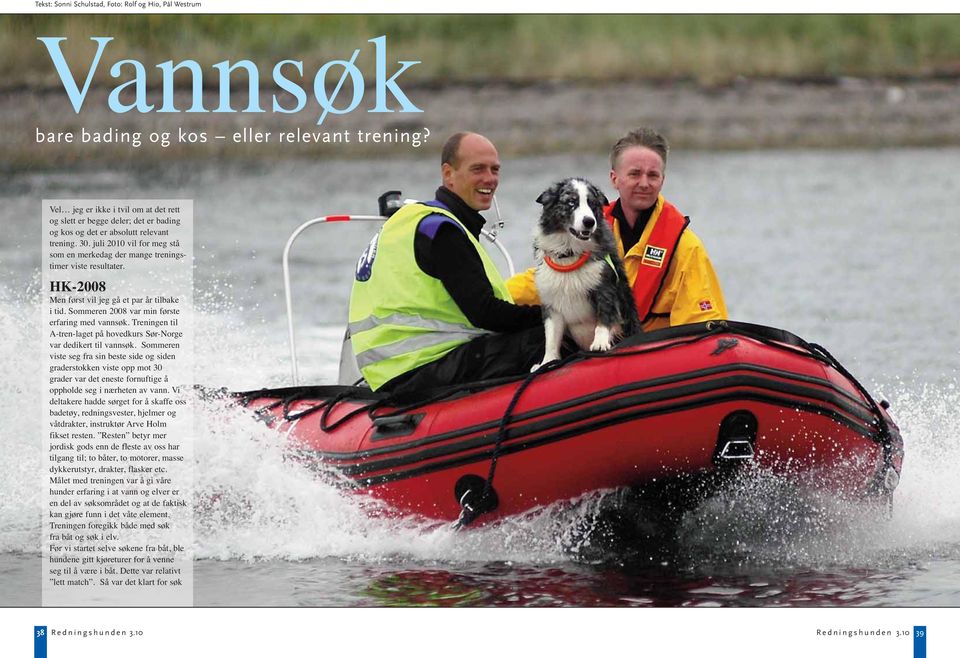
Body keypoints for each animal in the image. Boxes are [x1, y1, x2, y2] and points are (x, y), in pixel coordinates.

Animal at [532, 176, 636, 368]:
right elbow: (551, 337)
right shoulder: (553, 301)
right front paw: (547, 362)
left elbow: (605, 316)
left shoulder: (605, 287)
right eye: (571, 202)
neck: (570, 252)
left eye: (592, 203)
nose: (589, 221)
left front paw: (600, 343)